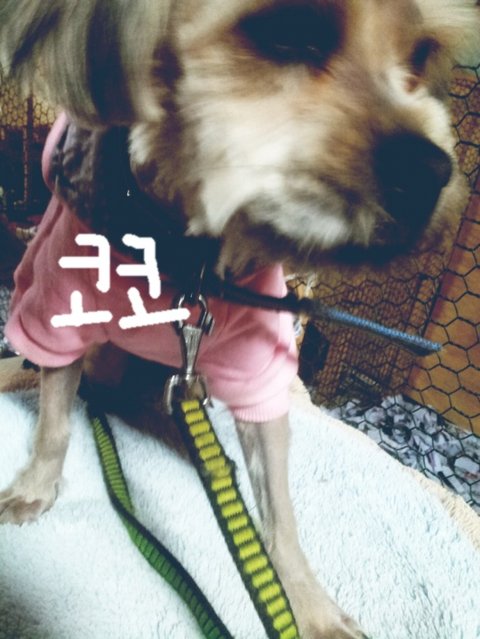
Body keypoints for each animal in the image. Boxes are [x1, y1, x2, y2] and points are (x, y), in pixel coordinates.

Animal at [0, 1, 479, 637]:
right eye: (287, 30)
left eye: (423, 54)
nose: (433, 173)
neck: (185, 254)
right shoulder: (59, 313)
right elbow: (53, 423)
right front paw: (35, 487)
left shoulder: (259, 374)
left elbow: (280, 509)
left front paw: (307, 604)